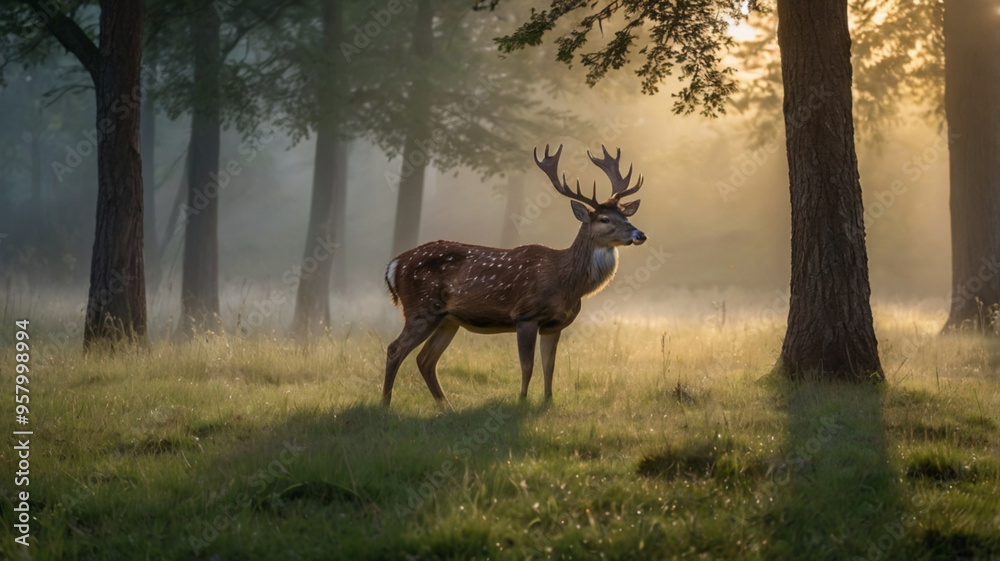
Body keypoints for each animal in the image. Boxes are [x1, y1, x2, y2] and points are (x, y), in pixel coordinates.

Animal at [382, 144, 646, 408]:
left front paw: (548, 402)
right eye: (604, 219)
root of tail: (394, 265)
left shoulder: (555, 325)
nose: (640, 234)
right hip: (422, 306)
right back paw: (386, 404)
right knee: (395, 349)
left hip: (448, 319)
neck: (565, 282)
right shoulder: (525, 315)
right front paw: (521, 400)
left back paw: (447, 408)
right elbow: (527, 366)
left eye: (626, 216)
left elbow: (549, 367)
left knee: (425, 359)